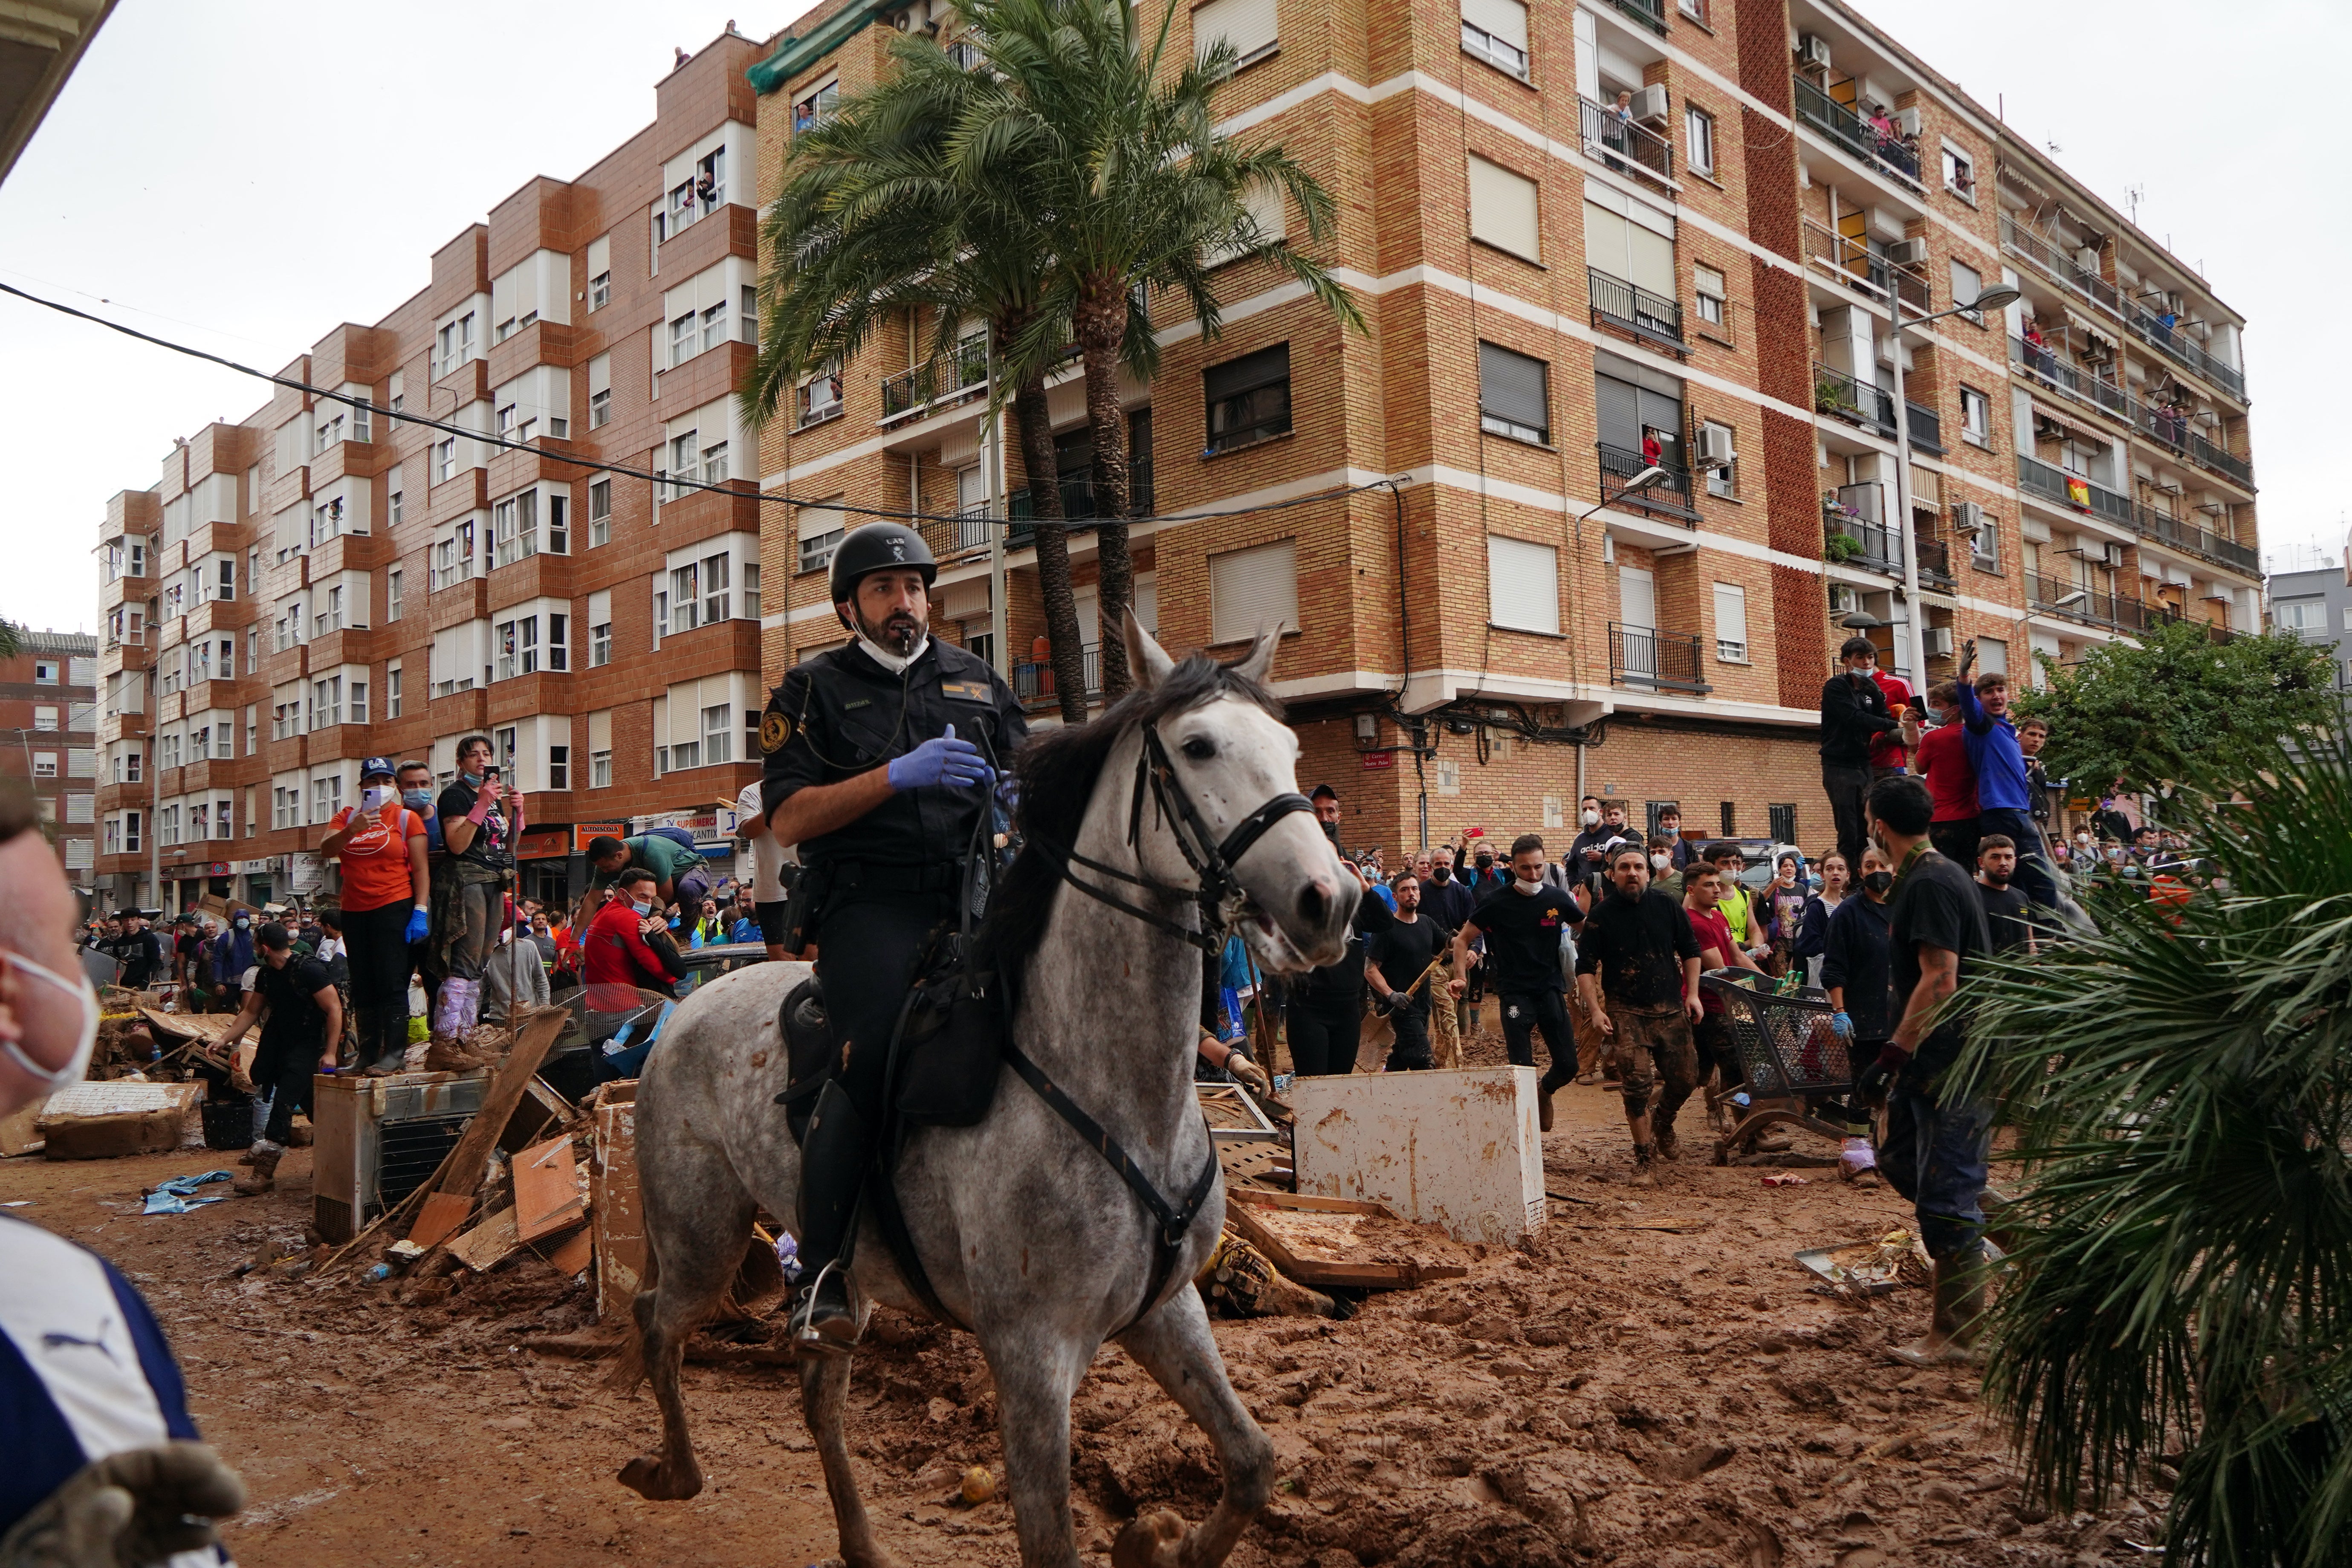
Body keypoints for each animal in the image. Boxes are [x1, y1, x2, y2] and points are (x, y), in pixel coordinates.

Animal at [621, 620, 1364, 1568]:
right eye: (1198, 746)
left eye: (1290, 747)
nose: (1331, 902)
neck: (1123, 1094)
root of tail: (689, 1002)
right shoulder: (1031, 1358)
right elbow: (1052, 1540)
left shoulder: (1168, 1312)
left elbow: (1253, 1462)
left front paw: (1158, 1542)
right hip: (703, 1238)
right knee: (654, 1317)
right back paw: (672, 1470)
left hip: (842, 1273)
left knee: (818, 1391)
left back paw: (862, 1543)